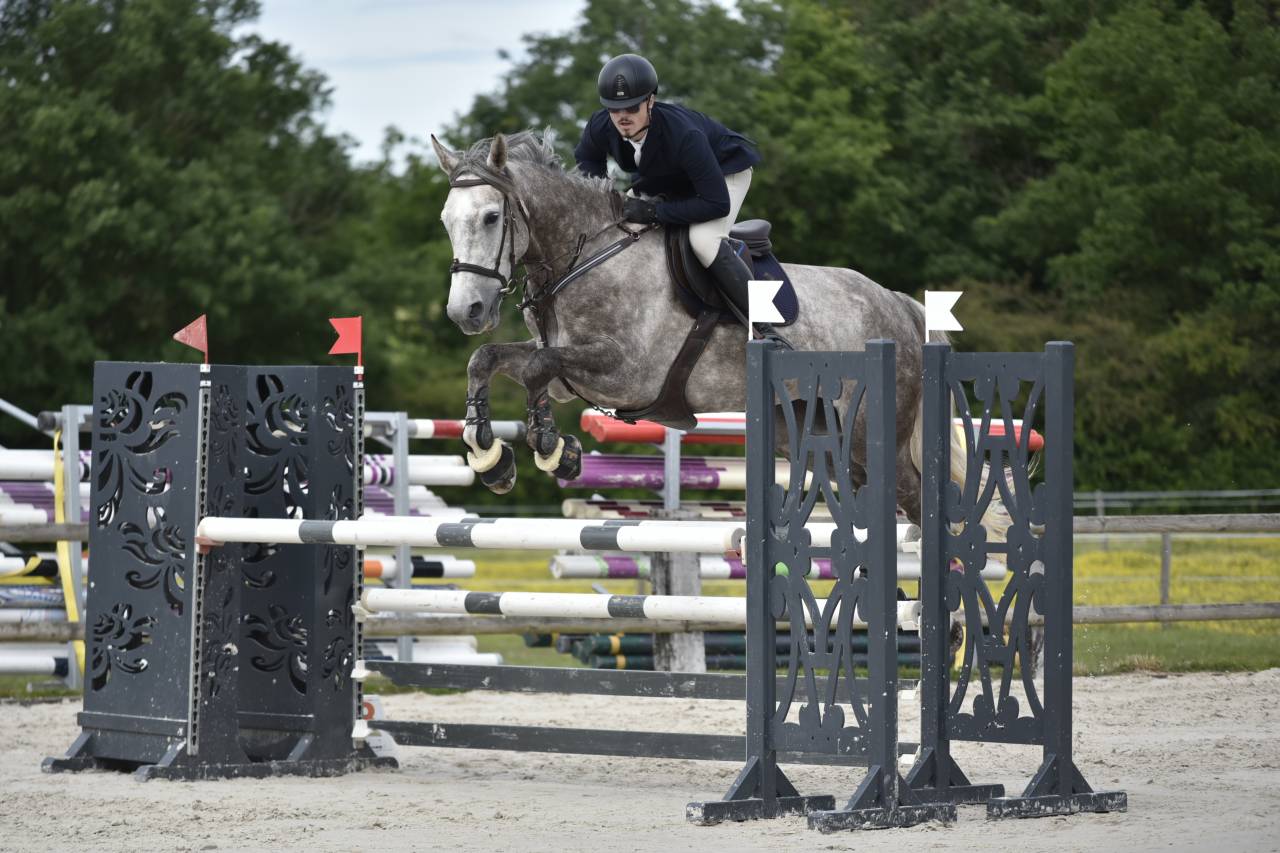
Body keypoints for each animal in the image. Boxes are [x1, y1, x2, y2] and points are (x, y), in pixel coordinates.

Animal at [431, 129, 998, 532]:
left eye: (491, 216)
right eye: (445, 220)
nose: (467, 311)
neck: (587, 255)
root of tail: (900, 306)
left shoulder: (624, 374)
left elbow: (535, 370)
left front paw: (551, 446)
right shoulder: (570, 371)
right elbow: (490, 359)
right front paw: (488, 455)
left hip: (868, 431)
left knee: (918, 500)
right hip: (819, 437)